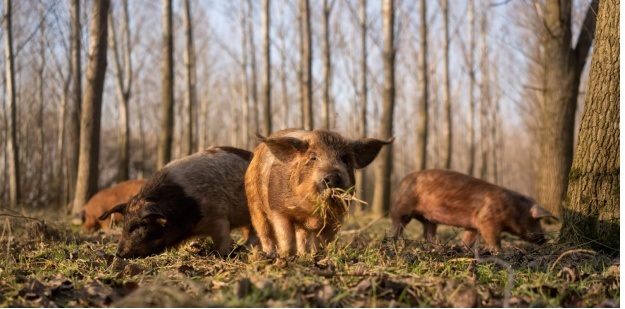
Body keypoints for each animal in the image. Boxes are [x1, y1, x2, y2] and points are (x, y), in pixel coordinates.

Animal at [99, 147, 258, 258]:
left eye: (139, 225)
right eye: (124, 224)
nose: (118, 254)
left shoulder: (219, 218)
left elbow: (222, 242)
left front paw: (222, 256)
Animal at [246, 127, 392, 255]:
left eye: (345, 159)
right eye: (313, 157)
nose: (332, 176)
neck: (310, 213)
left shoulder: (335, 218)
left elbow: (323, 241)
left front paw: (319, 256)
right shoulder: (277, 209)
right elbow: (286, 237)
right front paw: (286, 256)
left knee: (301, 236)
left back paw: (303, 254)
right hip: (254, 205)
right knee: (265, 233)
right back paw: (268, 254)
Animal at [390, 168, 556, 250]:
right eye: (537, 220)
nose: (544, 240)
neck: (513, 208)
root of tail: (401, 181)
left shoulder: (473, 225)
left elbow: (469, 238)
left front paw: (462, 248)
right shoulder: (487, 220)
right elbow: (493, 238)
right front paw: (499, 253)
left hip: (429, 219)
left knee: (428, 232)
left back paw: (438, 246)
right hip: (402, 207)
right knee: (397, 224)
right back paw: (392, 242)